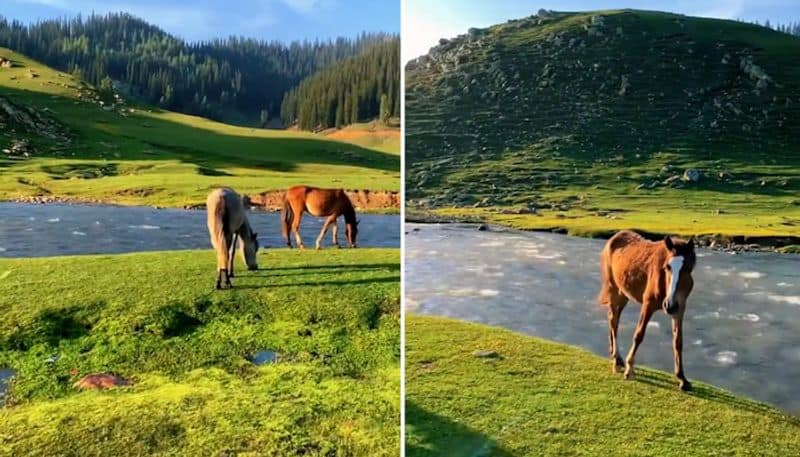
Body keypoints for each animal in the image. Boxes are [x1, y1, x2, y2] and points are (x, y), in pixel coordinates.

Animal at [596, 230, 696, 390]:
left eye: (687, 268)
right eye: (667, 267)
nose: (669, 305)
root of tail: (614, 238)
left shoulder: (680, 308)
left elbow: (678, 341)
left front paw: (682, 378)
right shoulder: (648, 305)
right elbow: (639, 335)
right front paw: (630, 370)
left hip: (623, 294)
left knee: (615, 320)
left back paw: (616, 357)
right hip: (614, 290)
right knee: (613, 320)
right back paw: (617, 361)